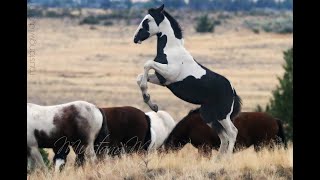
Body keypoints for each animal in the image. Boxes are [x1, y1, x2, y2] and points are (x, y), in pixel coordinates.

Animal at [134, 4, 241, 158]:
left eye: (147, 20)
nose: (135, 38)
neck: (171, 51)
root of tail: (232, 91)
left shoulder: (169, 73)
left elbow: (147, 64)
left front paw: (151, 103)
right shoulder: (162, 79)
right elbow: (140, 78)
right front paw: (152, 104)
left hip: (222, 115)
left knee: (232, 133)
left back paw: (226, 159)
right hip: (209, 116)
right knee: (224, 137)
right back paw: (218, 160)